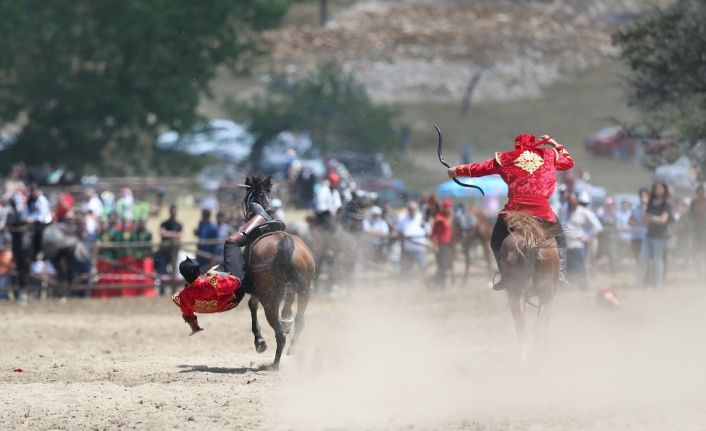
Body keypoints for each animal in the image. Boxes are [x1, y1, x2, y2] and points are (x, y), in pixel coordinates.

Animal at [242, 177, 314, 370]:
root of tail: (285, 243)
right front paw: (287, 319)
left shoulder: (257, 292)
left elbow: (252, 306)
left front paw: (260, 342)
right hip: (304, 292)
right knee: (300, 320)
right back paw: (292, 347)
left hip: (269, 300)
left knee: (279, 333)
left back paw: (274, 364)